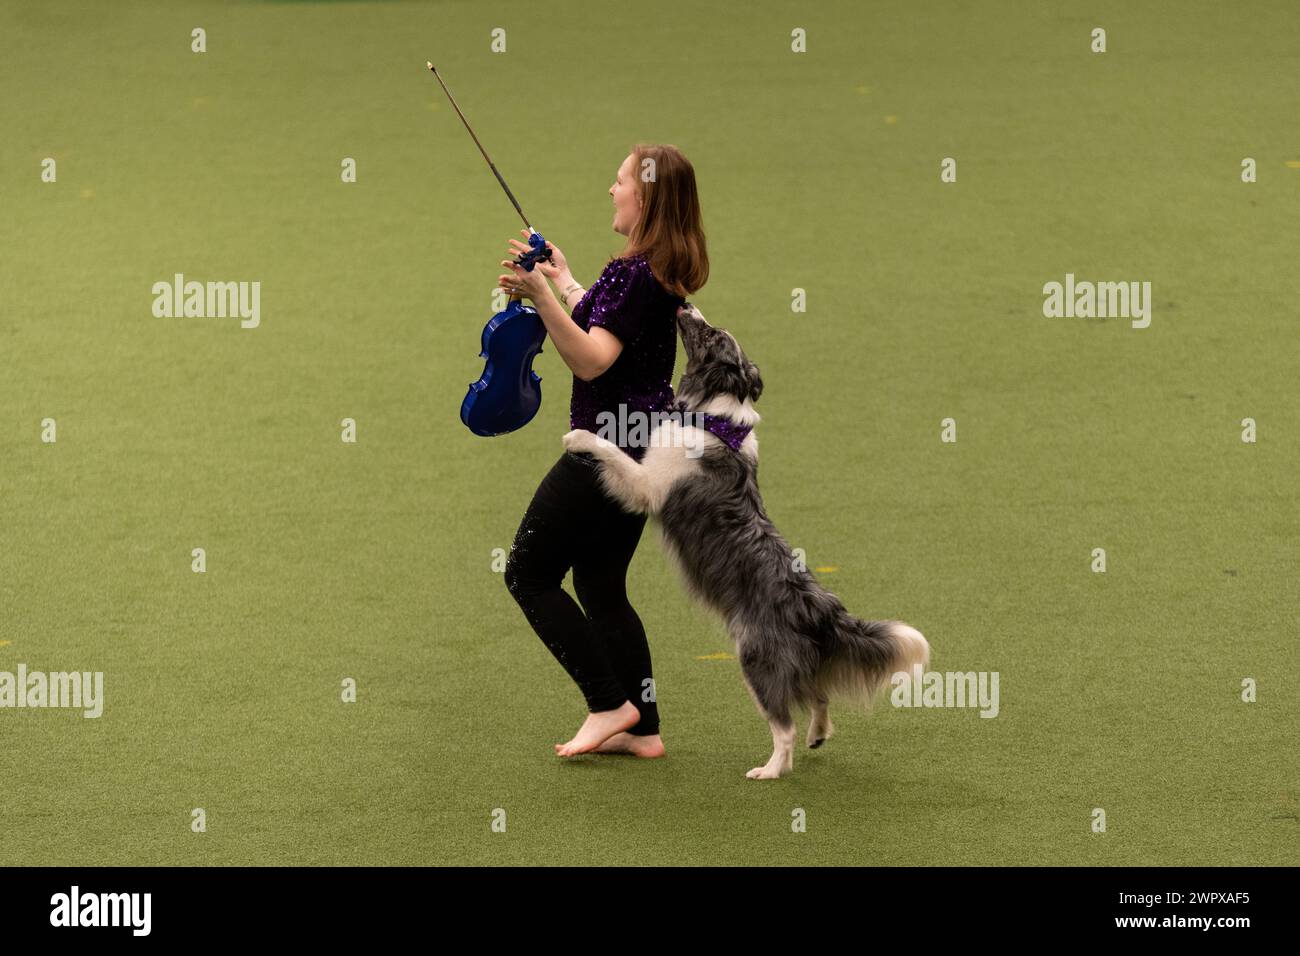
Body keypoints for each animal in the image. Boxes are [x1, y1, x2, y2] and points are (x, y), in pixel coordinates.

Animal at [564, 304, 930, 780]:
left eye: (711, 334)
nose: (685, 305)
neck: (716, 417)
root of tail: (821, 609)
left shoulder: (648, 486)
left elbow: (611, 452)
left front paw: (578, 437)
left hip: (756, 659)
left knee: (784, 724)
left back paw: (770, 770)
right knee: (818, 694)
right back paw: (817, 735)